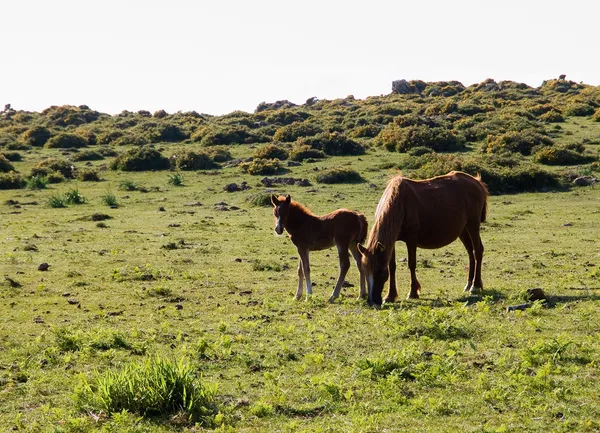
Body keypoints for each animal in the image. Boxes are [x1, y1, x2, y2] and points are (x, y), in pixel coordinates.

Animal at [356, 170, 488, 306]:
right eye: (365, 270)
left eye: (378, 272)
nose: (372, 301)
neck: (401, 203)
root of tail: (477, 182)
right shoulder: (391, 242)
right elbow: (392, 266)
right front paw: (390, 295)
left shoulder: (411, 239)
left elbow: (411, 264)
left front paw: (413, 292)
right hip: (463, 230)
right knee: (470, 252)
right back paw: (468, 284)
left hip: (473, 225)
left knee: (477, 251)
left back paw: (475, 286)